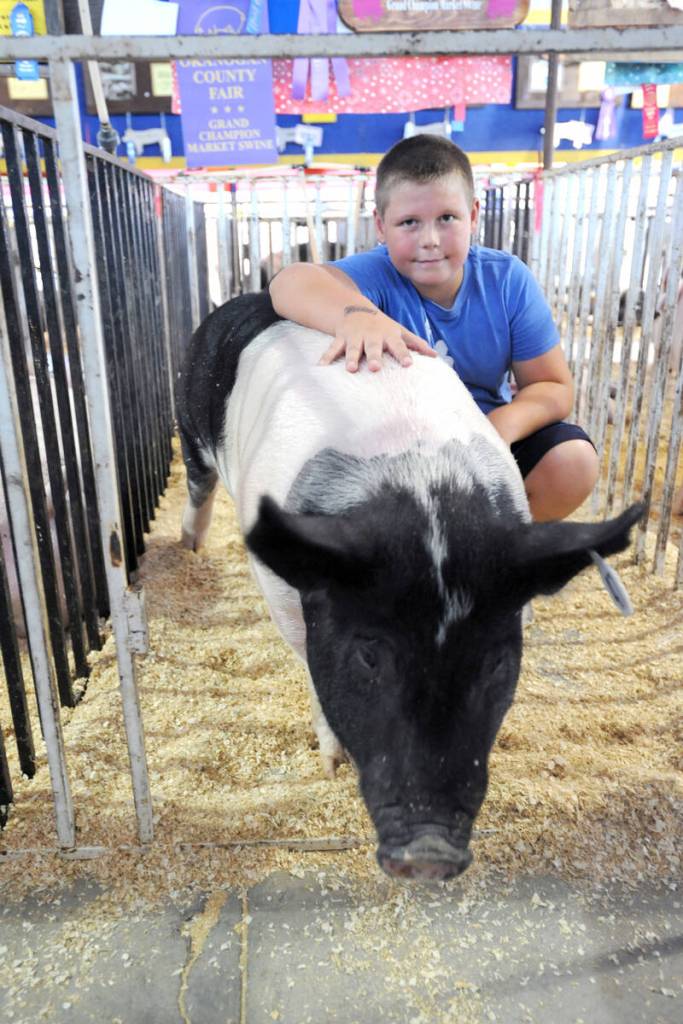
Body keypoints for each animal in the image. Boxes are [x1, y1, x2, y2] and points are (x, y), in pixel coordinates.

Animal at [176, 290, 643, 882]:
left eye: (496, 661)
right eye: (369, 654)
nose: (430, 850)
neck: (419, 479)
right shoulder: (280, 585)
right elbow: (306, 658)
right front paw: (331, 766)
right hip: (190, 422)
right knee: (199, 485)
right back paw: (190, 548)